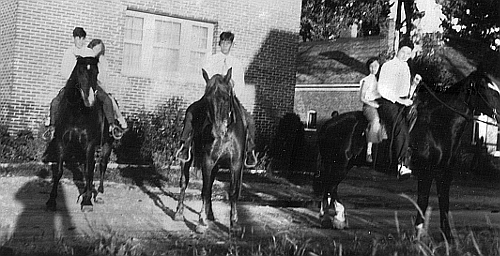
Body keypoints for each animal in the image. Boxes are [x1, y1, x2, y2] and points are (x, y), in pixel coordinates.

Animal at [45, 57, 114, 212]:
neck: (77, 113)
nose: (90, 99)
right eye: (80, 70)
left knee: (101, 166)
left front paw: (87, 202)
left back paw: (98, 194)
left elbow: (89, 172)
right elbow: (59, 172)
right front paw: (51, 200)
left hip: (106, 145)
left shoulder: (90, 145)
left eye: (96, 72)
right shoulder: (61, 142)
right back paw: (85, 193)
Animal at [174, 68, 248, 234]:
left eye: (226, 98)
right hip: (187, 158)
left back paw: (211, 214)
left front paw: (234, 224)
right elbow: (205, 190)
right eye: (207, 100)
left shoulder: (236, 164)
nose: (217, 131)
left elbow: (233, 191)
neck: (227, 135)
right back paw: (179, 213)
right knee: (184, 182)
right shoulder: (208, 162)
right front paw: (201, 221)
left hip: (217, 166)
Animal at [318, 70, 500, 238]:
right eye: (485, 88)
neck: (437, 126)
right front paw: (419, 232)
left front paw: (447, 235)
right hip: (340, 164)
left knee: (328, 187)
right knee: (330, 186)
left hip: (339, 165)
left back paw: (327, 218)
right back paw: (338, 219)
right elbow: (423, 200)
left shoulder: (444, 174)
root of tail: (330, 123)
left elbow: (444, 203)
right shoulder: (426, 172)